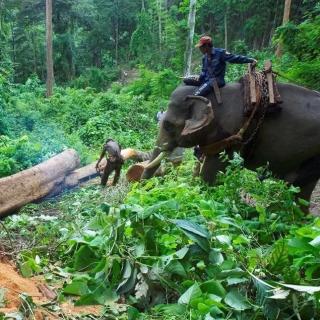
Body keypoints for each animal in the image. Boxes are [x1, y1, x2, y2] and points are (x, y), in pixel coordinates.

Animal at [141, 82, 320, 202]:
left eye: (168, 125)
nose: (141, 192)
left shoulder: (229, 135)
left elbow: (211, 171)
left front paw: (200, 197)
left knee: (296, 184)